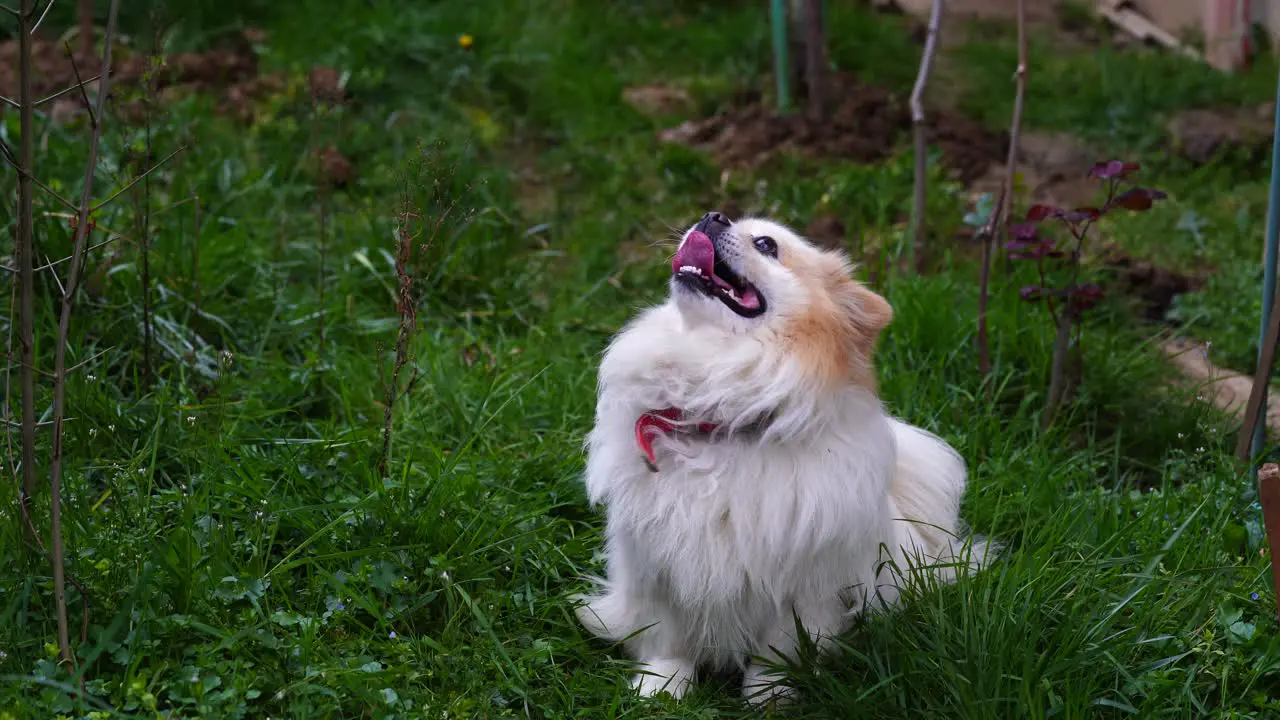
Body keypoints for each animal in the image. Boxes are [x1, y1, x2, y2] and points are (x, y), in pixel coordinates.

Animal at [576, 208, 993, 702]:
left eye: (766, 245)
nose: (712, 216)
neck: (720, 421)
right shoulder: (655, 567)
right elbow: (667, 637)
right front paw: (661, 687)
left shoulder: (801, 588)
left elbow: (777, 649)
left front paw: (767, 697)